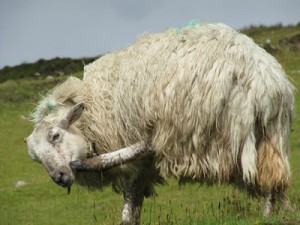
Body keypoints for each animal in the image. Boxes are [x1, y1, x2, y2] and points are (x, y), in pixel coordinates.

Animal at [27, 22, 294, 223]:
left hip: (210, 127)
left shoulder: (130, 152)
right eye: (37, 159)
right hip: (272, 131)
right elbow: (134, 198)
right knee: (273, 176)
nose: (60, 177)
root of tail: (262, 78)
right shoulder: (142, 166)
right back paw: (274, 212)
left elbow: (130, 193)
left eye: (55, 136)